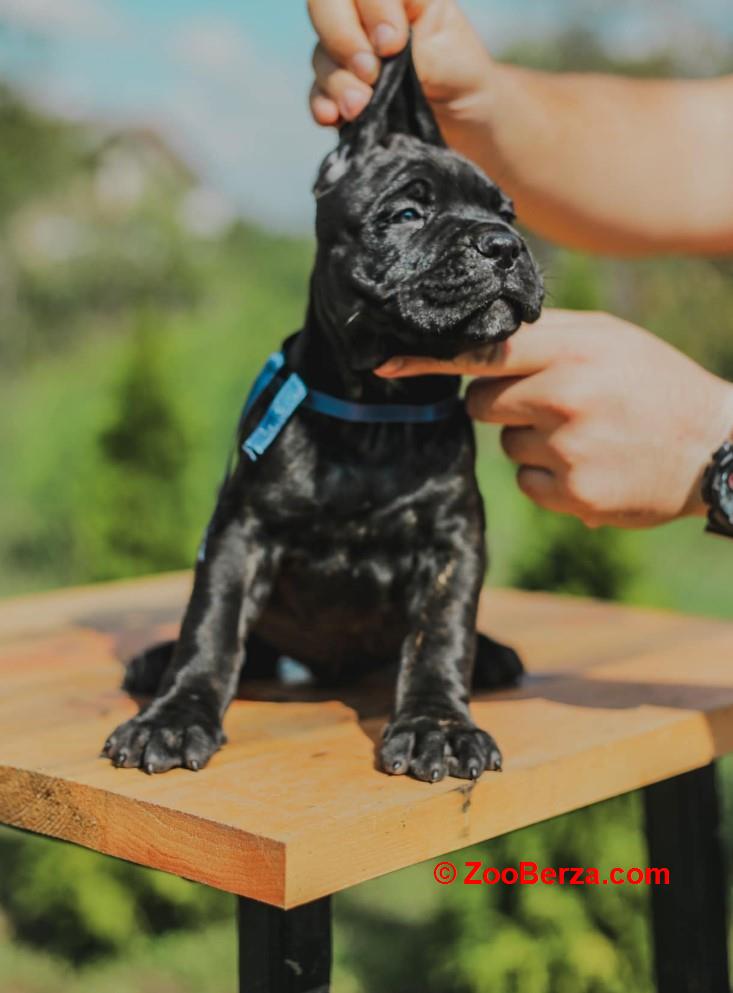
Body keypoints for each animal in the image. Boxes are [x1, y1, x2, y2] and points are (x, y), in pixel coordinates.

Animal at [100, 42, 540, 780]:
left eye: (506, 213)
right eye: (406, 215)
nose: (503, 245)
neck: (376, 416)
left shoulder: (453, 540)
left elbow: (440, 636)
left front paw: (438, 725)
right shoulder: (240, 533)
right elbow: (210, 626)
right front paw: (175, 715)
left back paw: (495, 655)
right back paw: (154, 663)